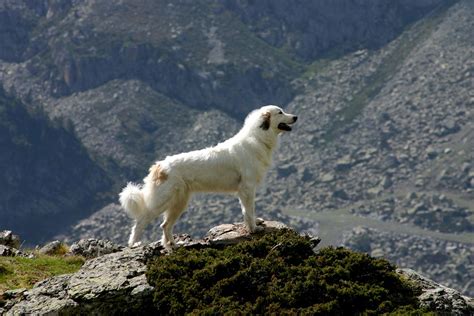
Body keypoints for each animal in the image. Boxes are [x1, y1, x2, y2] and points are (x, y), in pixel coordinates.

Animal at [118, 105, 296, 249]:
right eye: (280, 112)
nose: (295, 117)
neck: (258, 137)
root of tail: (159, 166)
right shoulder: (247, 188)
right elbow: (249, 210)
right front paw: (254, 229)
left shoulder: (245, 190)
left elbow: (248, 210)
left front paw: (255, 223)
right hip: (162, 201)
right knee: (141, 221)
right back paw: (134, 244)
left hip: (179, 203)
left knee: (165, 225)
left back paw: (173, 245)